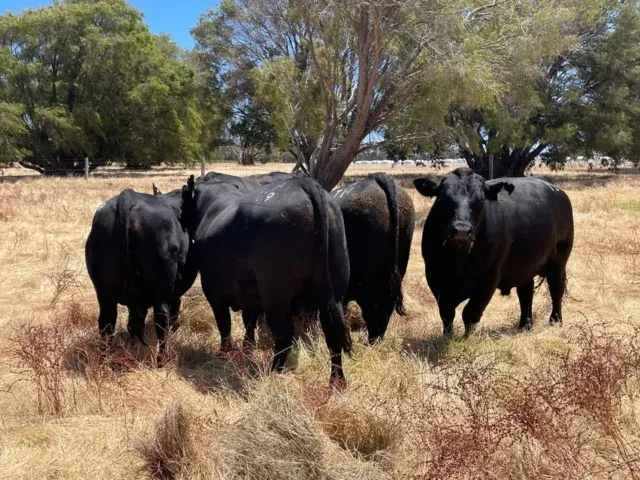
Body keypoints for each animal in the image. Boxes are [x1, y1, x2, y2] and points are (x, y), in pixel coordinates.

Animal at [86, 176, 198, 361]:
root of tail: (128, 196)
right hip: (162, 284)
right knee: (161, 318)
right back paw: (161, 359)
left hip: (104, 290)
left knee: (107, 322)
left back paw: (105, 359)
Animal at [194, 176, 352, 384]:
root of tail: (302, 183)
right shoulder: (250, 295)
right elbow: (249, 321)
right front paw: (247, 347)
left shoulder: (214, 294)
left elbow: (225, 324)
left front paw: (224, 353)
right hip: (335, 290)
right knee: (333, 332)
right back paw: (337, 380)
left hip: (275, 295)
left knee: (284, 333)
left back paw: (274, 372)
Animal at [413, 168, 574, 336]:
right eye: (442, 199)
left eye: (481, 201)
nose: (462, 231)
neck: (459, 260)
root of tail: (554, 188)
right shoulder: (435, 277)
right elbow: (446, 313)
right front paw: (448, 336)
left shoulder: (489, 278)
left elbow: (471, 313)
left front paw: (466, 338)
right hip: (525, 265)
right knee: (526, 293)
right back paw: (525, 325)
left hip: (559, 259)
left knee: (556, 289)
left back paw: (555, 321)